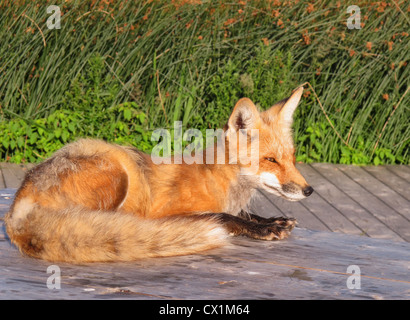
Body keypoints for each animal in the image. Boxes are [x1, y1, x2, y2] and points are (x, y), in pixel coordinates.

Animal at [4, 85, 314, 262]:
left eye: (292, 158)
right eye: (270, 160)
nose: (309, 190)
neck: (221, 181)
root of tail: (17, 206)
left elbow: (244, 214)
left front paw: (273, 220)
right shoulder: (170, 211)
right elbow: (225, 216)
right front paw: (264, 229)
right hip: (118, 174)